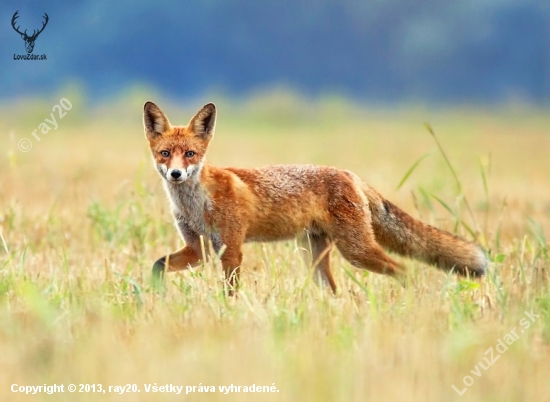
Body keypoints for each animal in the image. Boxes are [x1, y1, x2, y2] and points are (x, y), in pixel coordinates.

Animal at [144, 101, 490, 292]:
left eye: (190, 154)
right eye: (165, 154)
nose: (176, 174)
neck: (195, 206)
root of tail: (351, 174)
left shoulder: (230, 250)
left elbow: (230, 293)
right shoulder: (198, 249)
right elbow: (157, 265)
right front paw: (155, 294)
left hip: (356, 250)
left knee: (402, 270)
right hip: (315, 256)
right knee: (334, 292)